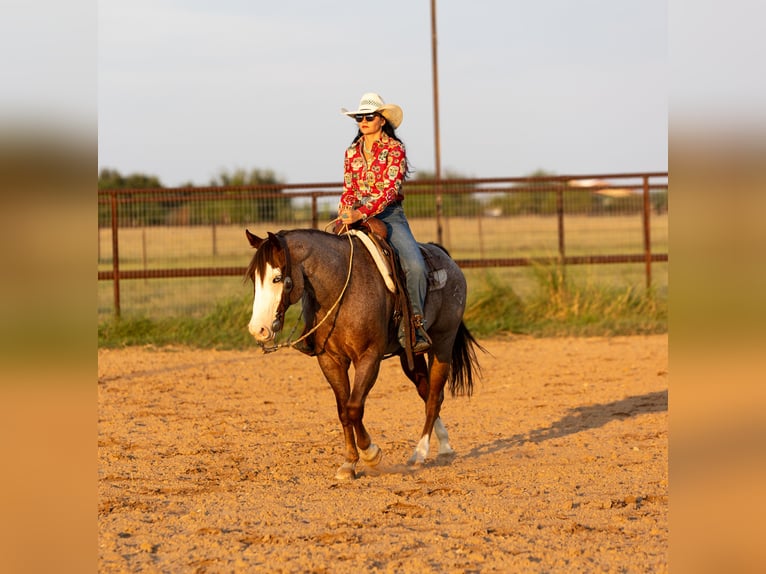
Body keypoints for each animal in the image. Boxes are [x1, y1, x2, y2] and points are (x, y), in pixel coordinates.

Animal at [246, 228, 486, 482]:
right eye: (253, 278)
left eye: (277, 278)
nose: (258, 329)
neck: (342, 289)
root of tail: (446, 259)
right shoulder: (330, 360)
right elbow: (343, 410)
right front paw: (349, 464)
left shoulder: (369, 357)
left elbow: (354, 407)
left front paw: (371, 454)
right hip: (409, 354)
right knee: (426, 391)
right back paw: (445, 447)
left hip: (442, 343)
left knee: (434, 398)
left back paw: (419, 454)